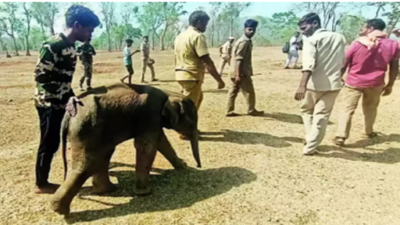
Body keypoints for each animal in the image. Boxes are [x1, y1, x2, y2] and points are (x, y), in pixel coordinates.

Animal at [50, 82, 199, 214]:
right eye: (192, 123)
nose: (198, 166)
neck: (169, 94)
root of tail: (68, 114)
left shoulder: (153, 120)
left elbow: (162, 142)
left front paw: (183, 166)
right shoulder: (150, 115)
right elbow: (147, 146)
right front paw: (144, 193)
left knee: (103, 155)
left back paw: (107, 190)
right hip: (87, 129)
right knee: (88, 163)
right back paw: (60, 210)